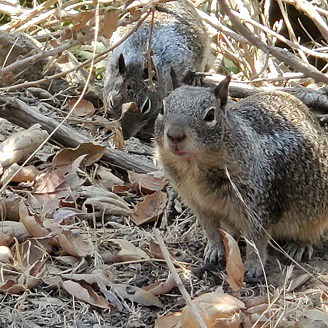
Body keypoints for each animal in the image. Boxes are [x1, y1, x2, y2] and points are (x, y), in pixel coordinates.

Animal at [155, 75, 328, 280]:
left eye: (210, 115)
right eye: (162, 109)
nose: (175, 135)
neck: (193, 167)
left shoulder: (257, 205)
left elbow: (256, 239)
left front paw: (253, 266)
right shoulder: (198, 203)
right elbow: (210, 229)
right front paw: (214, 250)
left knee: (312, 232)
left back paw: (299, 246)